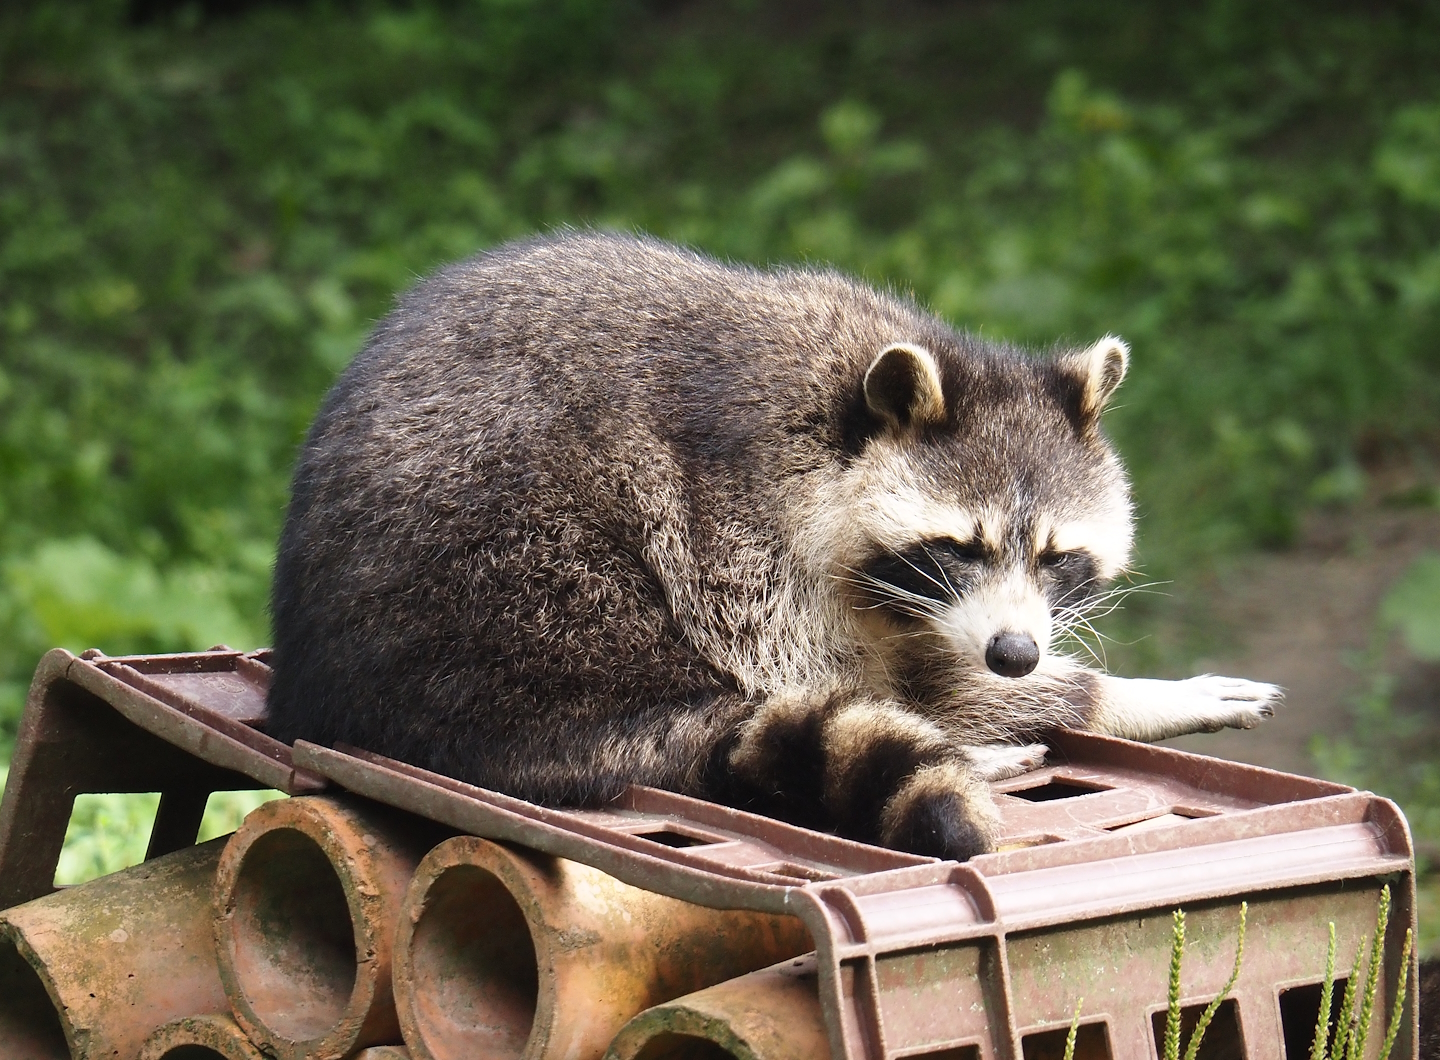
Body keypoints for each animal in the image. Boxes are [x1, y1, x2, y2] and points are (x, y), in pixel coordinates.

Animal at [267, 231, 1281, 861]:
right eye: (959, 545)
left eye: (1056, 556)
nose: (1016, 654)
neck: (846, 413)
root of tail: (321, 700)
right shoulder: (734, 517)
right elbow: (814, 659)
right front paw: (1107, 697)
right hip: (515, 579)